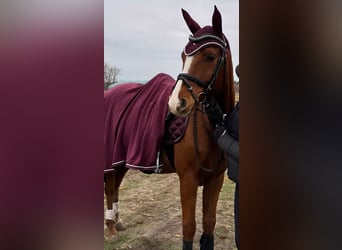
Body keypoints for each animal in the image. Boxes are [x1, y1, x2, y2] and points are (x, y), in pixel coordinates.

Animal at [103, 5, 235, 250]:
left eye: (210, 56)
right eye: (184, 56)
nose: (176, 104)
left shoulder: (215, 180)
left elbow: (209, 224)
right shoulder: (188, 180)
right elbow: (189, 227)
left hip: (121, 157)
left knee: (115, 184)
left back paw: (117, 222)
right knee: (109, 185)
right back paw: (110, 227)